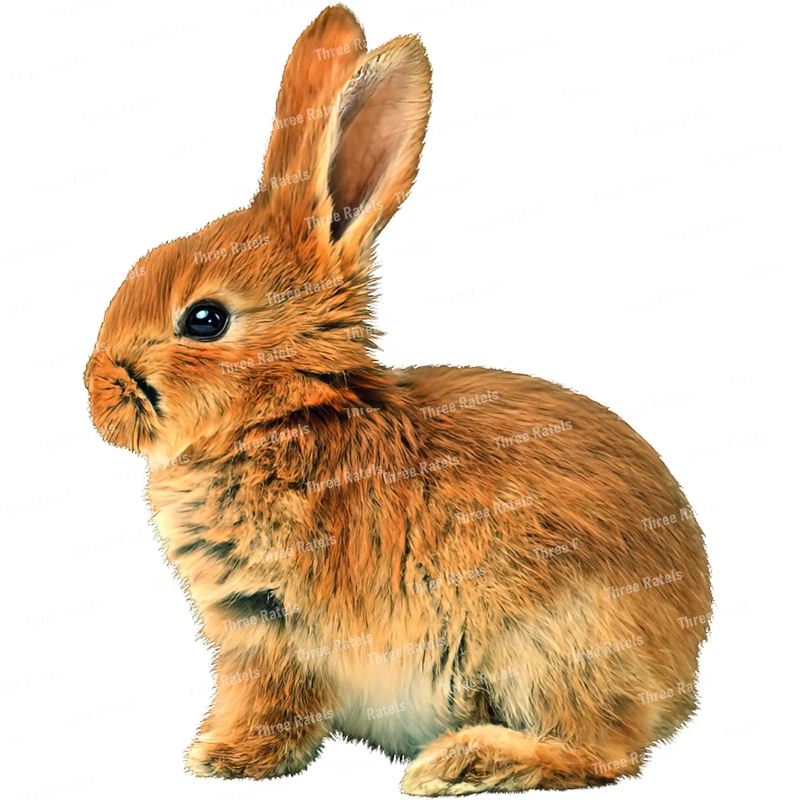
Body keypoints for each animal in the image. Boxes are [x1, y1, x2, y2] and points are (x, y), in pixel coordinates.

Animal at [84, 5, 712, 795]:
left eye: (205, 319)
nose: (95, 393)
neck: (288, 413)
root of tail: (682, 670)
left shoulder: (271, 628)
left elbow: (269, 701)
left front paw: (226, 758)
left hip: (549, 641)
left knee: (606, 749)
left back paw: (463, 761)